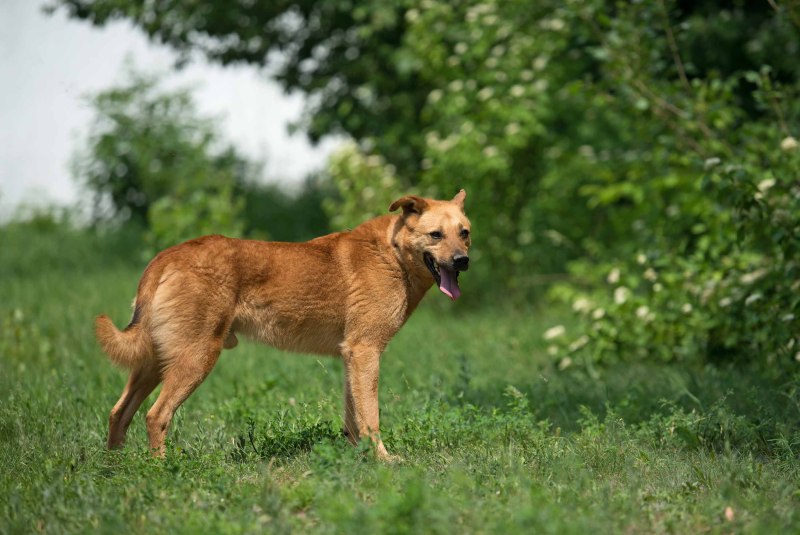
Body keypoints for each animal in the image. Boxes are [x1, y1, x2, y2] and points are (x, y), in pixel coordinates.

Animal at [95, 189, 468, 460]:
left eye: (464, 233)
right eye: (435, 235)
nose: (463, 261)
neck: (392, 252)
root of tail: (166, 256)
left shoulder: (350, 356)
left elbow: (353, 419)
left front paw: (355, 460)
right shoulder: (365, 352)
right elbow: (371, 418)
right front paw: (383, 462)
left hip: (154, 362)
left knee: (118, 413)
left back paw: (115, 468)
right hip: (195, 358)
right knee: (156, 416)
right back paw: (162, 470)